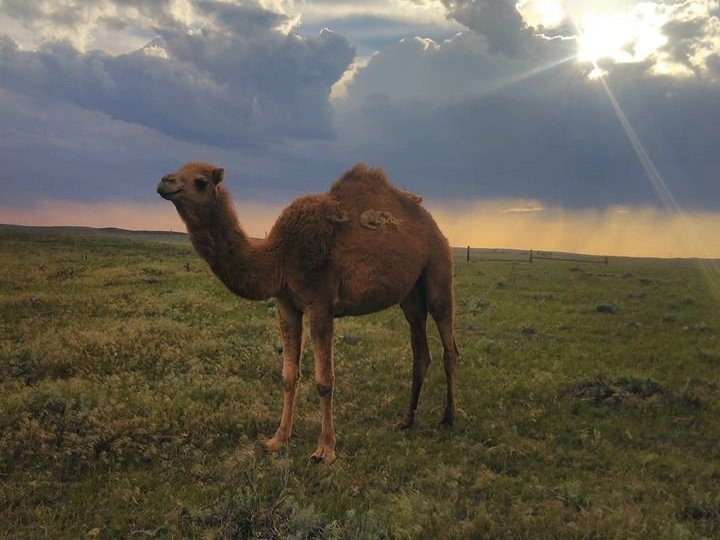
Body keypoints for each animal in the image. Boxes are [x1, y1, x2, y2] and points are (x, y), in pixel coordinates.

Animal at [157, 162, 459, 464]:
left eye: (201, 181)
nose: (164, 182)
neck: (279, 256)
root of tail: (434, 226)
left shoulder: (321, 303)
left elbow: (325, 381)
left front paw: (325, 449)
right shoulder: (287, 306)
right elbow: (289, 376)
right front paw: (278, 439)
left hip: (439, 269)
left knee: (449, 344)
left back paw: (448, 418)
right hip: (410, 295)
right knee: (420, 351)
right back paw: (406, 420)